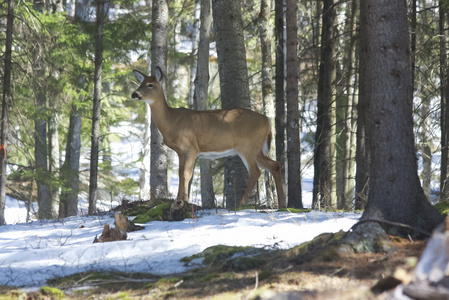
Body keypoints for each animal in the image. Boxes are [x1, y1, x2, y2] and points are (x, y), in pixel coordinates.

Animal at [131, 66, 286, 207]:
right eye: (140, 83)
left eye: (150, 85)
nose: (134, 94)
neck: (172, 121)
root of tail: (267, 121)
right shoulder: (181, 152)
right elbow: (181, 174)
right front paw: (178, 199)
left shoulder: (190, 147)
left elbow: (186, 174)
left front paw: (183, 200)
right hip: (256, 149)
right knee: (275, 165)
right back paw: (282, 204)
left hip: (247, 146)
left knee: (256, 172)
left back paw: (241, 203)